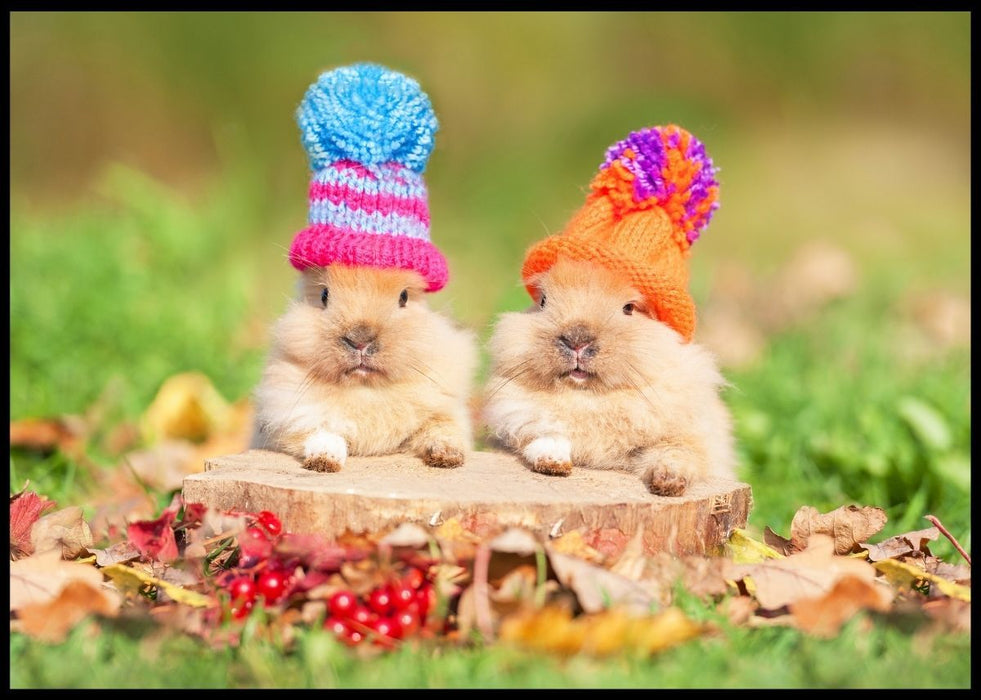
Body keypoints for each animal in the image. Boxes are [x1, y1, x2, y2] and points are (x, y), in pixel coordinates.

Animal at [251, 263, 478, 473]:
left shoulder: (445, 413)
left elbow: (442, 430)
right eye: (324, 295)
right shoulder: (295, 420)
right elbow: (323, 434)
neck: (365, 389)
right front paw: (323, 461)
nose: (359, 340)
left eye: (404, 297)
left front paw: (447, 457)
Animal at [481, 255, 737, 497]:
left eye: (629, 308)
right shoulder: (527, 422)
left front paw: (668, 483)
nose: (576, 340)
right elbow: (548, 437)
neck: (587, 397)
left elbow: (677, 454)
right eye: (543, 301)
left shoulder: (689, 438)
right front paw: (553, 464)